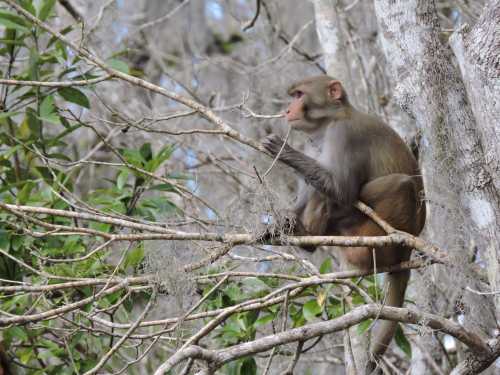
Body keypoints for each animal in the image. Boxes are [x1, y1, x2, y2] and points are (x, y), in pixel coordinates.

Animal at [262, 75, 426, 372]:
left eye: (299, 95)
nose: (288, 109)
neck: (328, 123)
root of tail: (407, 250)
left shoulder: (344, 135)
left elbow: (343, 190)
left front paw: (284, 151)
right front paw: (280, 224)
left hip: (376, 234)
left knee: (400, 185)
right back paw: (306, 235)